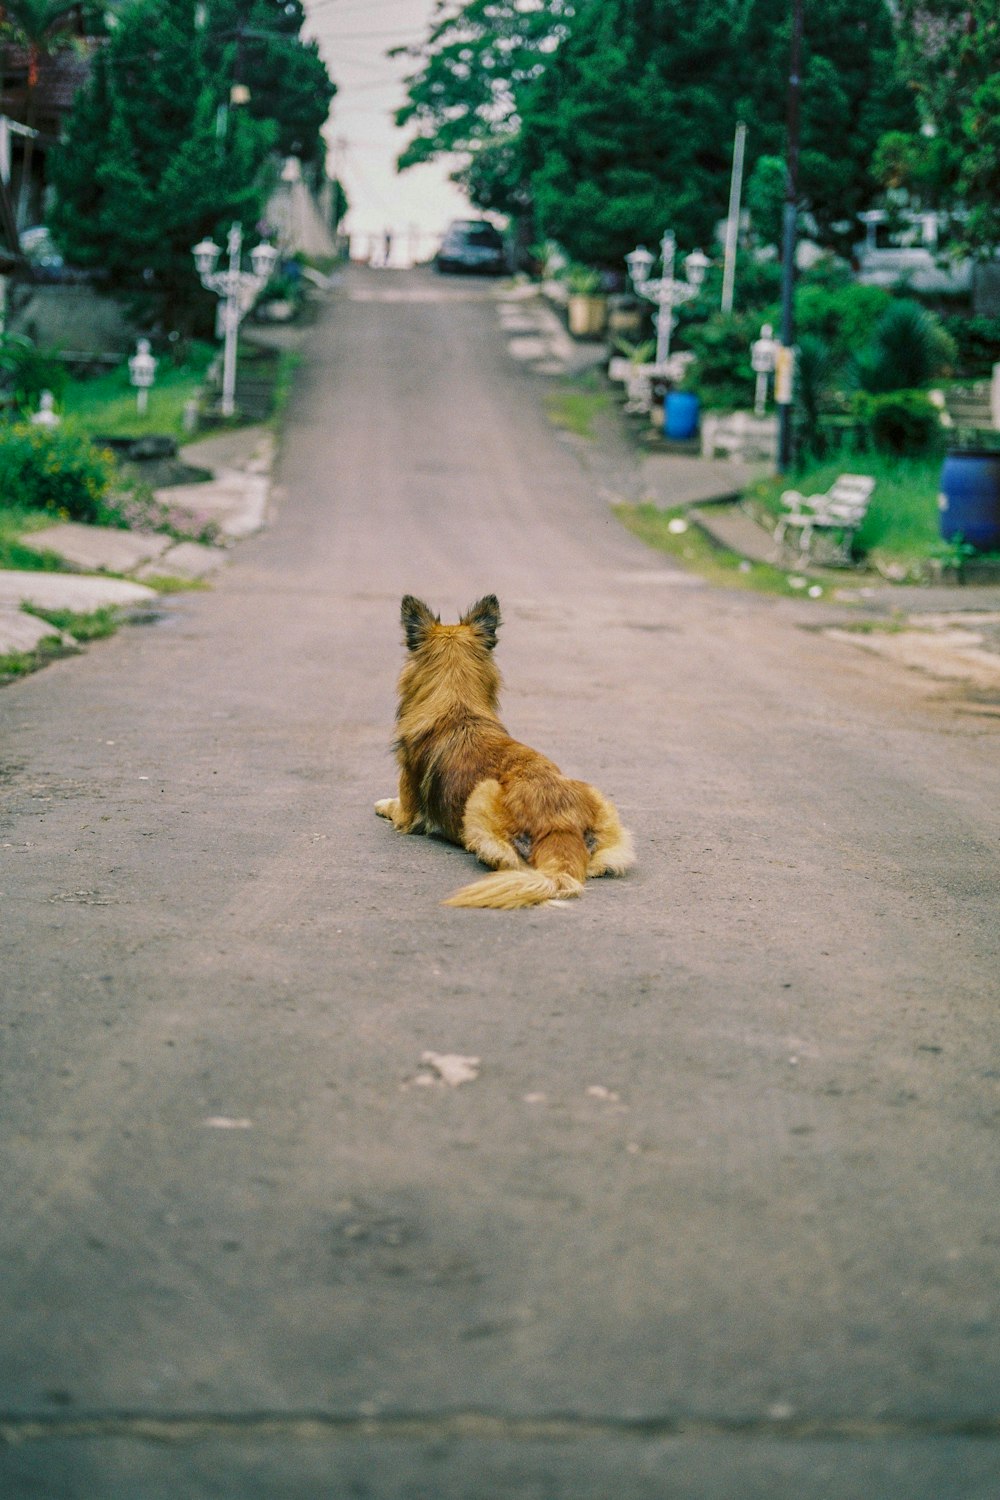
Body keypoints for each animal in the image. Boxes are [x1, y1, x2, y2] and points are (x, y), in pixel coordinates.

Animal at [374, 594, 632, 900]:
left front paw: (382, 803)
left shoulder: (407, 812)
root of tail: (560, 824)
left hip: (481, 797)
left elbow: (394, 806)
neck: (457, 706)